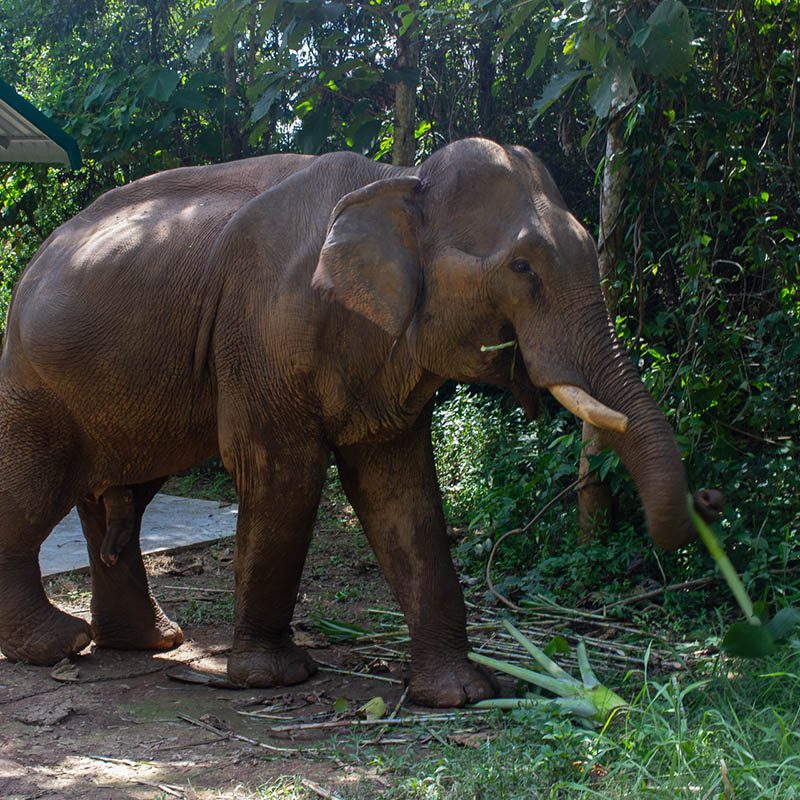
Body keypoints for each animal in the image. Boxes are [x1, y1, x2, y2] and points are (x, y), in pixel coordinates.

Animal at [0, 139, 720, 708]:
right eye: (522, 266)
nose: (710, 498)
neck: (399, 178)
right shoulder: (263, 330)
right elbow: (283, 472)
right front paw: (272, 679)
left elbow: (398, 491)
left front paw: (460, 694)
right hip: (34, 382)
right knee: (36, 492)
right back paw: (58, 646)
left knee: (112, 499)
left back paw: (151, 641)